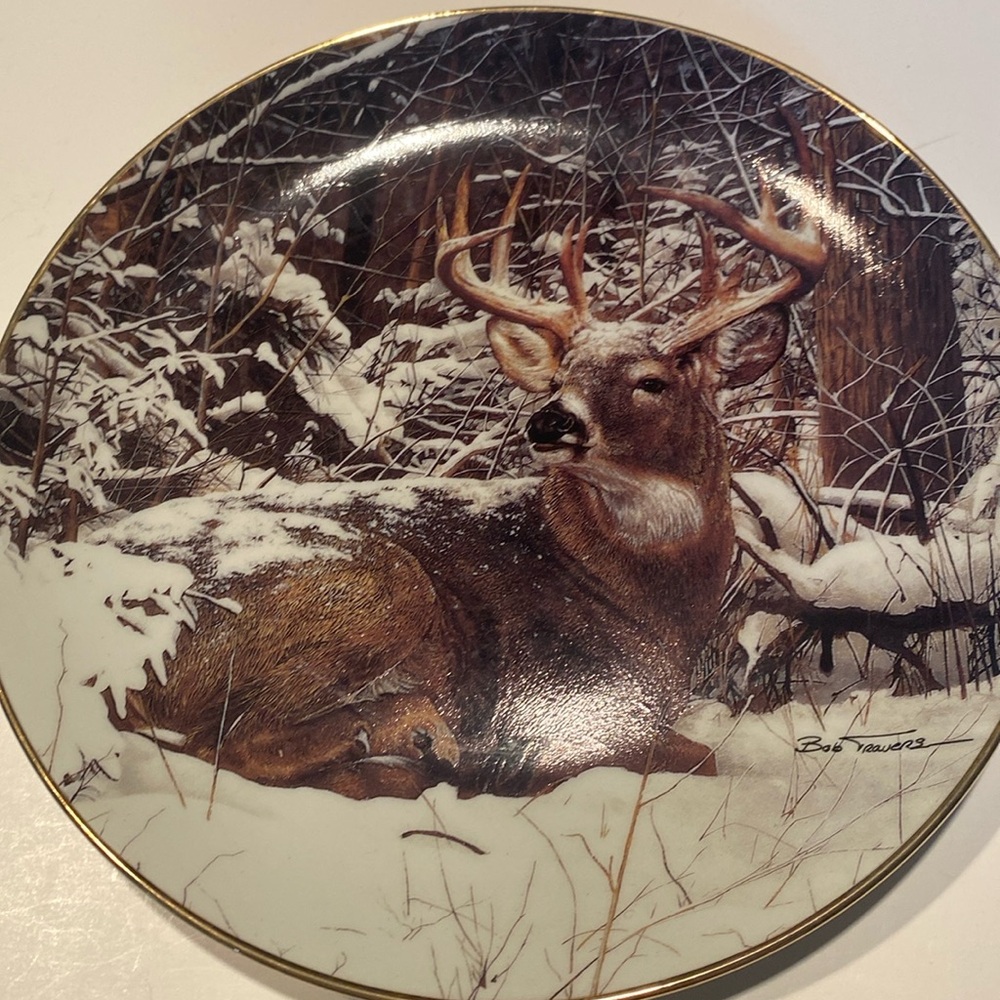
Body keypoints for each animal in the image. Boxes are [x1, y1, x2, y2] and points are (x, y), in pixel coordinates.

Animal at [99, 133, 828, 799]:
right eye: (560, 375)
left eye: (653, 381)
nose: (550, 421)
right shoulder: (567, 697)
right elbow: (700, 757)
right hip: (372, 583)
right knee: (228, 740)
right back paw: (421, 747)